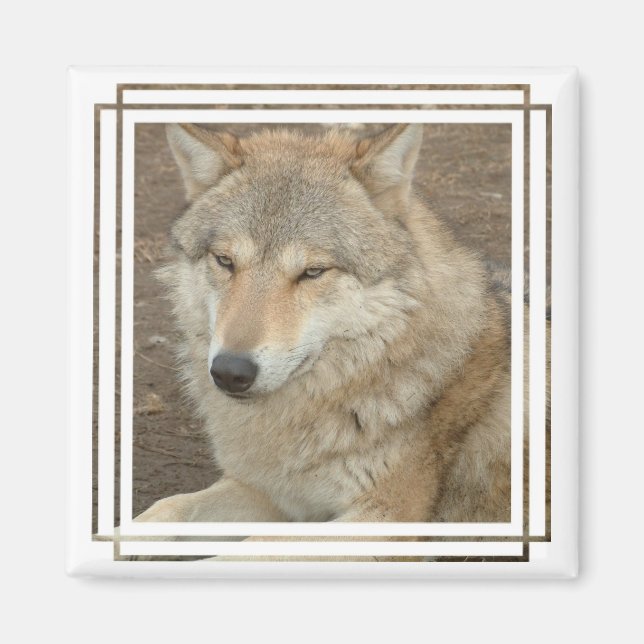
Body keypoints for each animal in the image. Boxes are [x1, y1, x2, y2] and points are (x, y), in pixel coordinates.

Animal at [135, 122, 513, 525]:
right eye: (225, 261)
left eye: (313, 271)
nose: (230, 372)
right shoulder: (272, 493)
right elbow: (166, 506)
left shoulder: (385, 514)